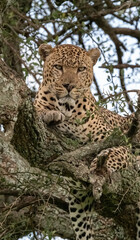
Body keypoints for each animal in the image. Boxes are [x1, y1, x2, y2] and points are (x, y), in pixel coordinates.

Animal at [33, 43, 139, 240]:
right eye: (58, 67)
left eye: (81, 69)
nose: (69, 85)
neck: (67, 108)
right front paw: (50, 114)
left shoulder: (116, 140)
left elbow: (113, 153)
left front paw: (98, 169)